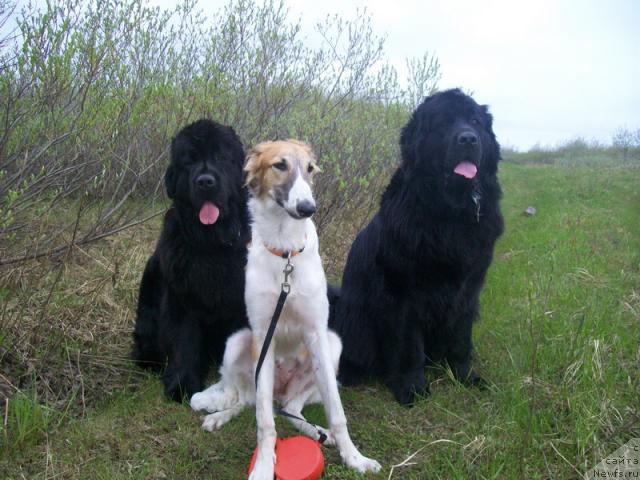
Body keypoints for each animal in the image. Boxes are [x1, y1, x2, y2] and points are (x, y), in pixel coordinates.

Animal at [132, 119, 250, 402]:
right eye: (189, 161)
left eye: (219, 157)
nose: (205, 181)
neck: (212, 243)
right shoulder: (182, 297)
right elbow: (184, 340)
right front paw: (182, 385)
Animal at [330, 89, 504, 404]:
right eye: (443, 124)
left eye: (474, 121)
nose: (468, 139)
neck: (452, 213)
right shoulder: (404, 294)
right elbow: (410, 346)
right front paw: (411, 388)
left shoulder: (468, 290)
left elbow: (461, 339)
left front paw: (465, 376)